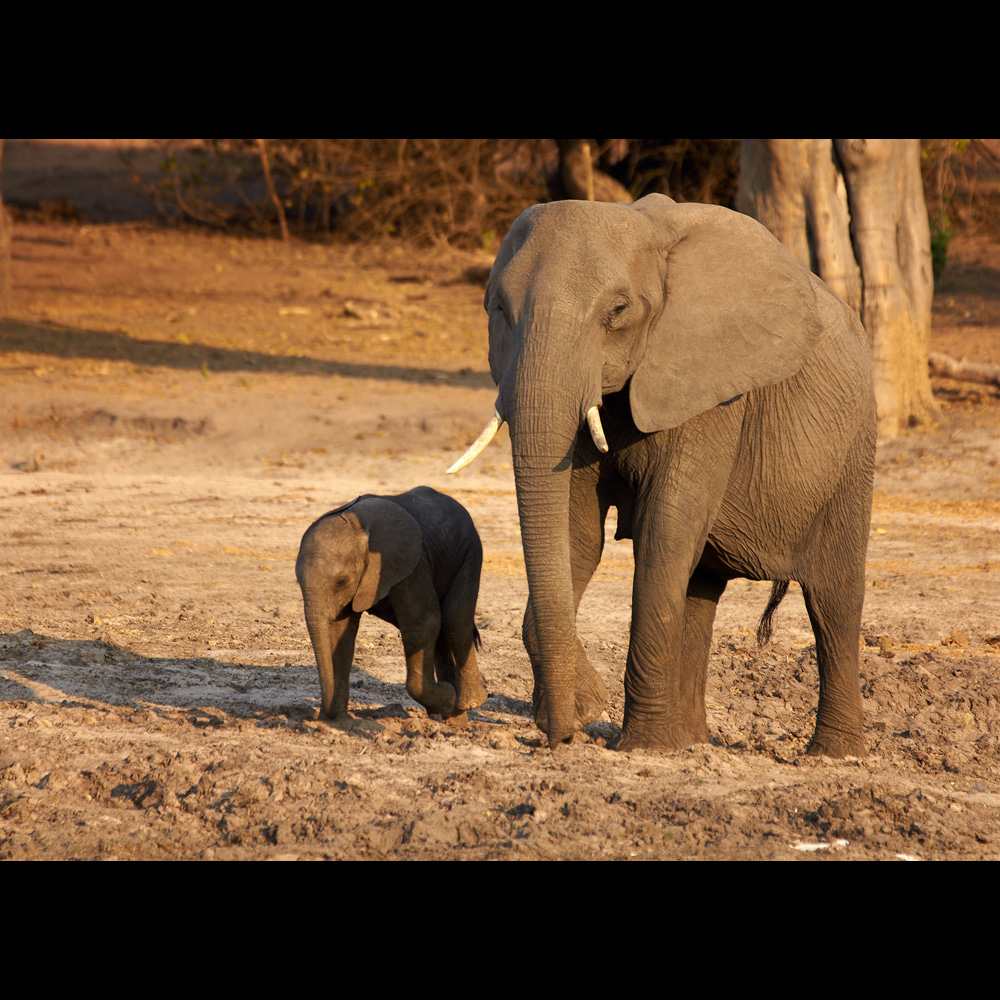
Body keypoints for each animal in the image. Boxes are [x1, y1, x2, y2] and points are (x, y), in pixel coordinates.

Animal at [292, 488, 488, 724]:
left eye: (341, 581)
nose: (324, 716)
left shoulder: (411, 564)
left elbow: (422, 624)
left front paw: (448, 696)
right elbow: (340, 634)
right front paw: (341, 723)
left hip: (469, 552)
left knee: (454, 620)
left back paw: (469, 702)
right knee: (444, 630)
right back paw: (454, 719)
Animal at [452, 193, 876, 756]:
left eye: (618, 311)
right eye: (498, 308)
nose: (558, 739)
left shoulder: (713, 389)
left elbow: (664, 529)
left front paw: (639, 746)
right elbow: (576, 535)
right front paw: (593, 710)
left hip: (854, 452)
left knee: (833, 601)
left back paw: (832, 754)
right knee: (699, 588)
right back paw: (691, 742)